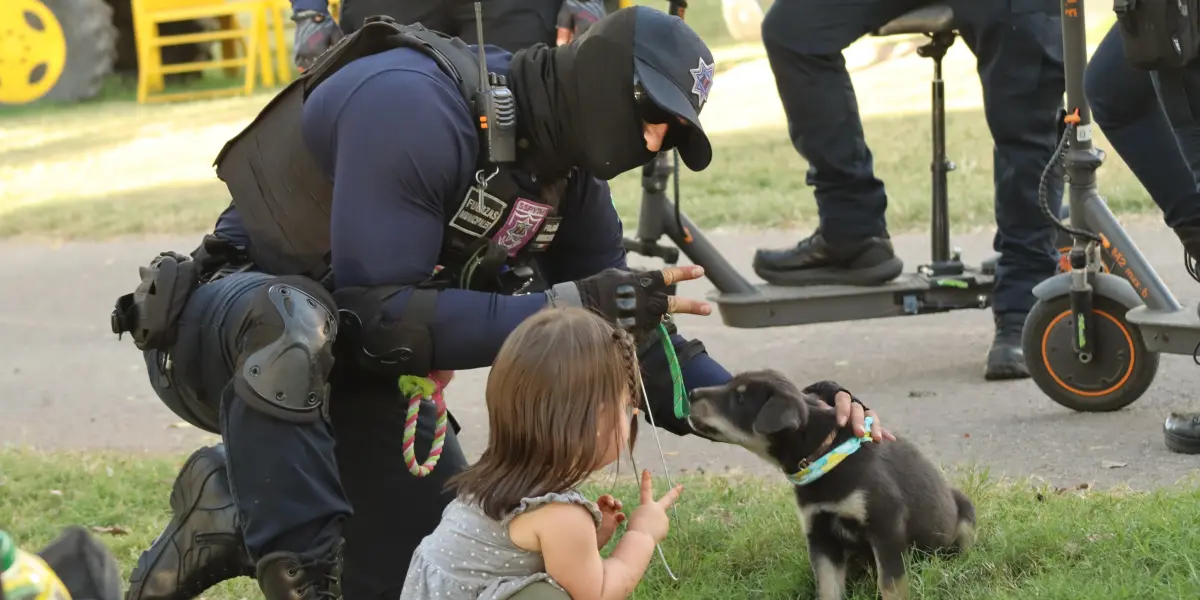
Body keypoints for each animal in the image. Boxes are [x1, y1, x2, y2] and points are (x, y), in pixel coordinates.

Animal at [686, 369, 974, 600]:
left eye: (740, 399)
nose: (690, 392)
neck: (822, 455)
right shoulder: (820, 535)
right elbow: (827, 588)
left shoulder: (885, 526)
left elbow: (891, 584)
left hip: (964, 512)